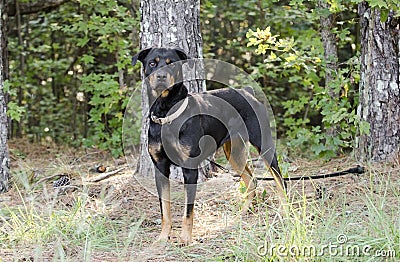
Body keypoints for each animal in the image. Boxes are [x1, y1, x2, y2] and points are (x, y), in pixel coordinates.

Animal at [131, 47, 284, 246]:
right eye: (152, 63)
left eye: (172, 63)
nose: (162, 76)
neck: (166, 112)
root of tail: (247, 91)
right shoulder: (160, 167)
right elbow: (165, 209)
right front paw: (163, 237)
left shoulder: (189, 169)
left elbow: (188, 211)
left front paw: (185, 238)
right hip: (234, 153)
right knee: (252, 182)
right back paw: (240, 216)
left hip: (263, 144)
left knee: (280, 180)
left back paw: (286, 212)